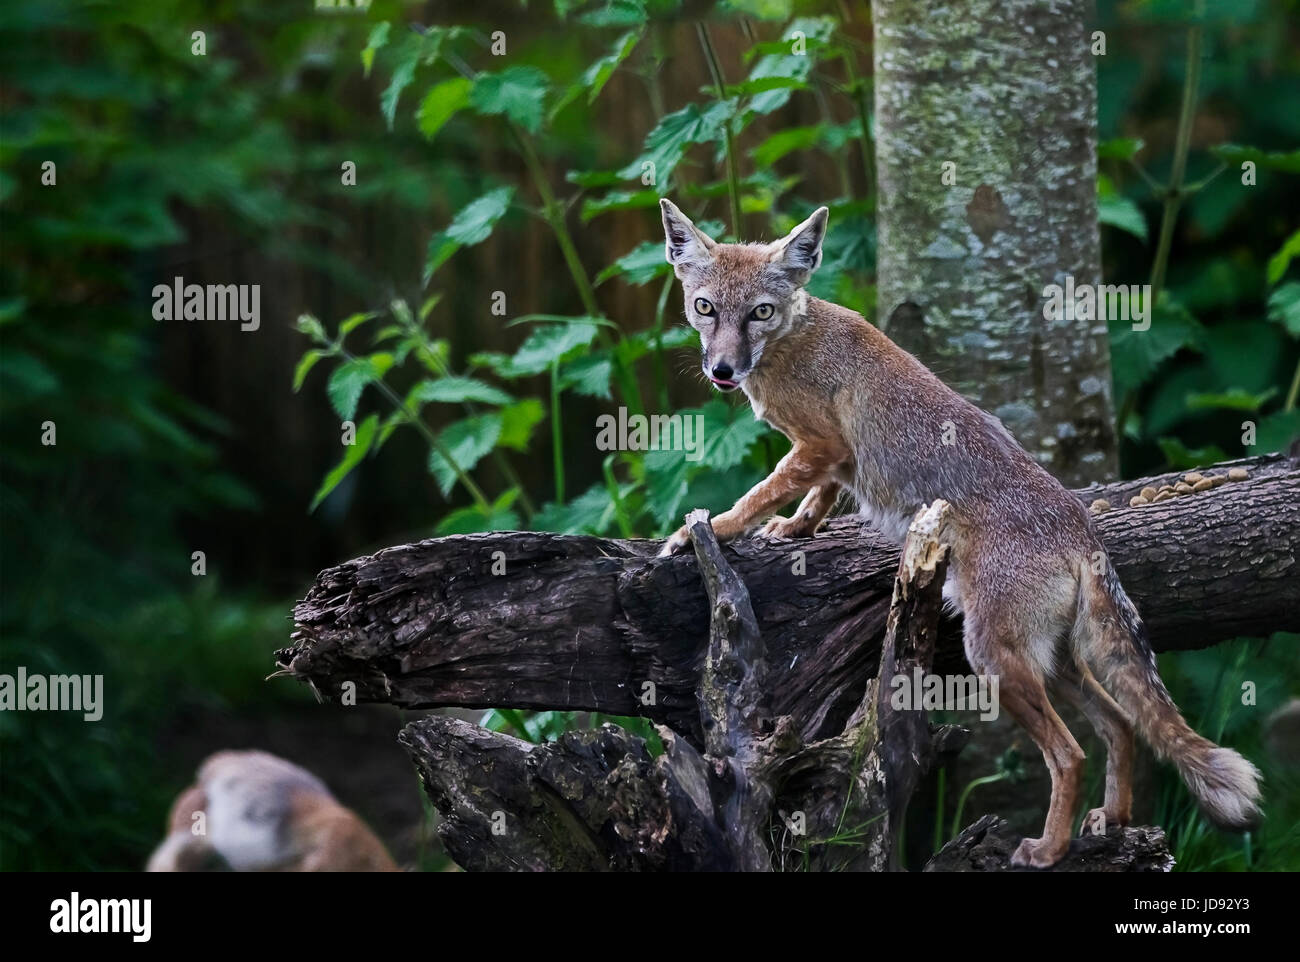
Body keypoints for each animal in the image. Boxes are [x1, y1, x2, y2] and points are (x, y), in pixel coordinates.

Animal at [660, 198, 1258, 868]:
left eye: (759, 312)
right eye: (705, 308)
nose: (722, 369)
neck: (794, 340)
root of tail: (1082, 532)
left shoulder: (820, 445)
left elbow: (755, 495)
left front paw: (706, 532)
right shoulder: (836, 459)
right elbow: (815, 498)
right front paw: (794, 528)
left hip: (994, 658)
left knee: (1071, 753)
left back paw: (1049, 849)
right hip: (1055, 663)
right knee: (1121, 727)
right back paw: (1115, 819)